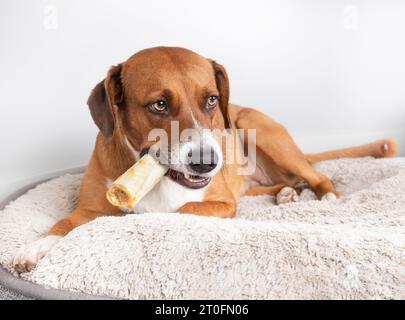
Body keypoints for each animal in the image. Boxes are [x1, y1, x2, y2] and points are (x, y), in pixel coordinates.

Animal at [14, 47, 396, 272]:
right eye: (159, 105)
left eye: (211, 99)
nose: (206, 163)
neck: (156, 176)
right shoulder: (90, 210)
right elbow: (65, 224)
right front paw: (36, 247)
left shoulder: (221, 203)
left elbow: (183, 210)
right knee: (282, 184)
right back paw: (286, 194)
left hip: (259, 129)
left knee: (314, 175)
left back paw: (325, 195)